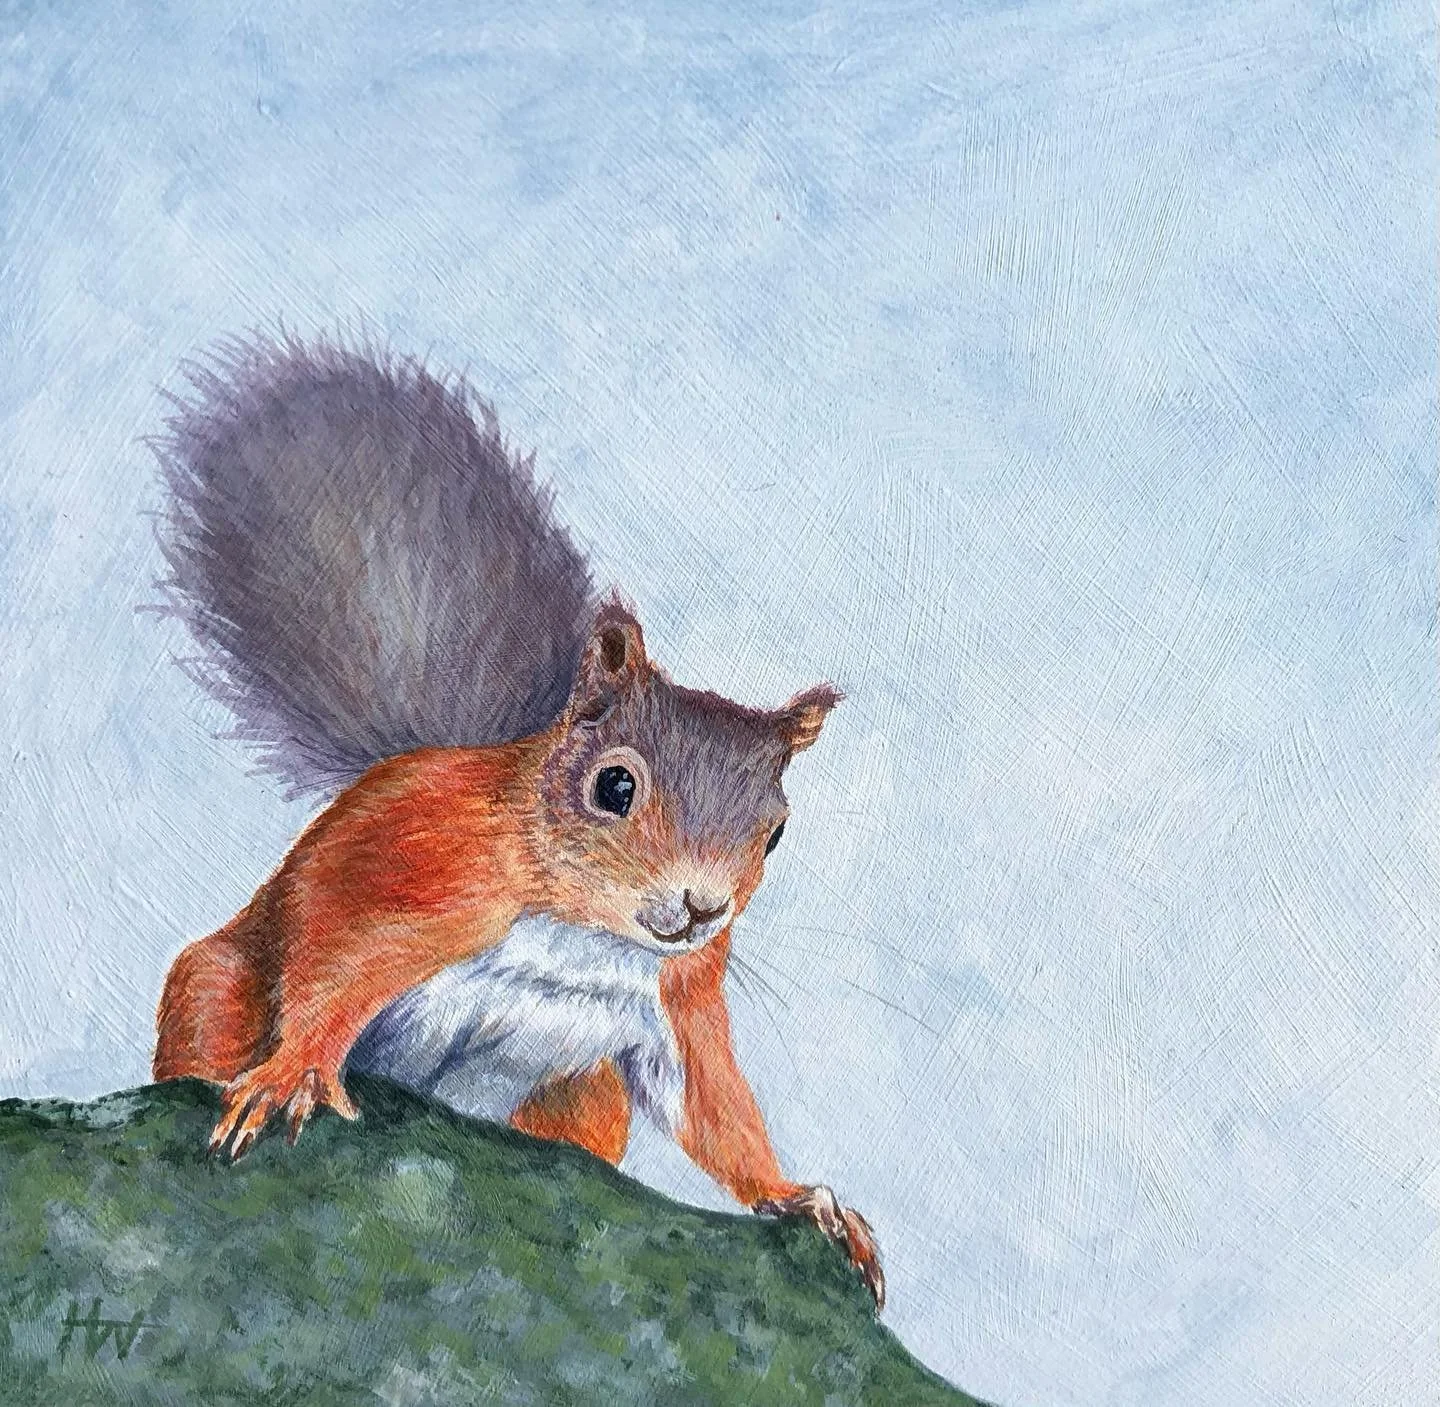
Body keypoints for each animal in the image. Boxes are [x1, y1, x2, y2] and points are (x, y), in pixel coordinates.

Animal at [147, 332, 883, 1308]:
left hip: (583, 1096)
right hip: (216, 988)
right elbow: (333, 952)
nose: (701, 909)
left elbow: (713, 1107)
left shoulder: (683, 996)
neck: (580, 928)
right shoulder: (420, 864)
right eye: (614, 786)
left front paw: (801, 1198)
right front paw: (295, 1070)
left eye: (776, 832)